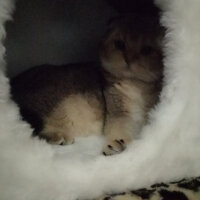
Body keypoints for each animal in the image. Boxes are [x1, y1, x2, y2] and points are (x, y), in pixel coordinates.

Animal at [10, 13, 164, 155]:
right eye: (120, 44)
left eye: (147, 49)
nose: (128, 59)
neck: (136, 85)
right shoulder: (119, 113)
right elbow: (120, 129)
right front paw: (115, 143)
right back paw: (59, 136)